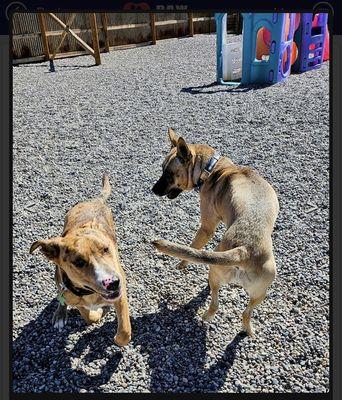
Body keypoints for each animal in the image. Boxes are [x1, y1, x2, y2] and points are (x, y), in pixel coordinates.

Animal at [30, 175, 131, 346]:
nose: (112, 283)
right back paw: (60, 314)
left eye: (106, 249)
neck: (89, 292)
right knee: (61, 295)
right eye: (78, 262)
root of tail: (95, 200)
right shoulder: (76, 299)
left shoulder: (120, 292)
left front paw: (116, 336)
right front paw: (99, 312)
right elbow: (89, 316)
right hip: (57, 276)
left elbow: (124, 332)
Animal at [152, 128, 278, 338]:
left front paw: (181, 264)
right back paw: (247, 330)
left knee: (215, 303)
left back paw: (206, 315)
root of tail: (245, 250)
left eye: (169, 173)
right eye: (162, 169)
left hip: (217, 273)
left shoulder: (207, 227)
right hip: (260, 292)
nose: (153, 190)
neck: (213, 168)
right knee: (246, 313)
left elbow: (192, 248)